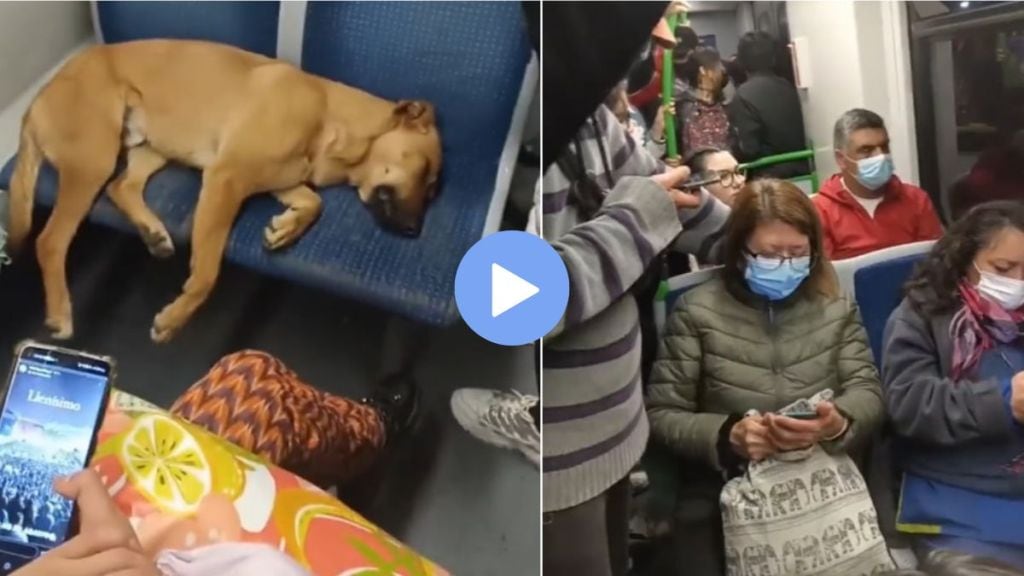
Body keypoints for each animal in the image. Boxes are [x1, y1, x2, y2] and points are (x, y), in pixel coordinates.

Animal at [4, 39, 444, 340]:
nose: (415, 231)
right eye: (425, 172)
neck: (331, 118)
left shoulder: (281, 179)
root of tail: (36, 101)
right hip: (92, 160)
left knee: (121, 186)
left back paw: (152, 232)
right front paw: (177, 316)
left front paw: (286, 229)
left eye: (432, 190)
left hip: (151, 148)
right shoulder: (226, 179)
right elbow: (207, 272)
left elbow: (314, 202)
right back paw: (61, 313)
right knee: (50, 241)